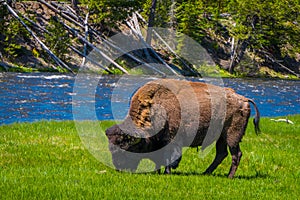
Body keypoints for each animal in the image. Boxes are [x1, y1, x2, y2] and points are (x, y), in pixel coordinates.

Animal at [106, 78, 260, 178]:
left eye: (126, 148)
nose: (120, 168)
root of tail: (243, 99)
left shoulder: (171, 140)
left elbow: (169, 158)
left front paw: (167, 172)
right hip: (221, 137)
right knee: (221, 154)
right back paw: (206, 173)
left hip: (232, 136)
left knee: (236, 154)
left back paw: (229, 176)